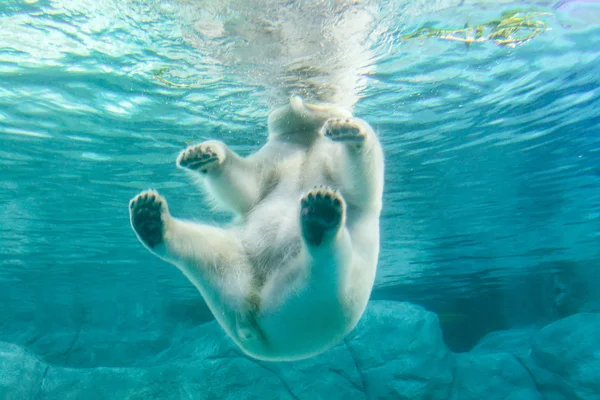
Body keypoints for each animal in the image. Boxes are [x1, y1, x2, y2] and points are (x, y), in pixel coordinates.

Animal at [129, 97, 386, 362]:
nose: (295, 100)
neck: (305, 137)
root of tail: (256, 321)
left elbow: (361, 187)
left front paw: (348, 129)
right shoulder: (278, 153)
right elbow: (249, 188)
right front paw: (202, 154)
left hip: (326, 303)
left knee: (327, 269)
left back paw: (320, 217)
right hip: (239, 262)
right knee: (208, 251)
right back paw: (150, 218)